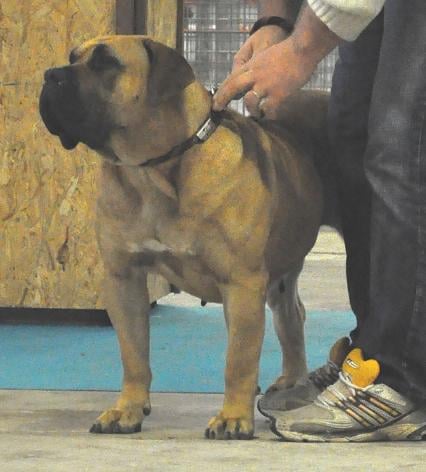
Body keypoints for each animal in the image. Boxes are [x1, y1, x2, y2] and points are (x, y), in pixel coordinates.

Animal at [39, 35, 339, 439]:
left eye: (106, 63)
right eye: (72, 58)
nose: (50, 75)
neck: (153, 171)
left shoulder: (242, 283)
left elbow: (238, 359)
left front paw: (233, 418)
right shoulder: (124, 279)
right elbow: (133, 354)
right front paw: (127, 409)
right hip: (282, 271)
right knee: (292, 315)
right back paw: (291, 384)